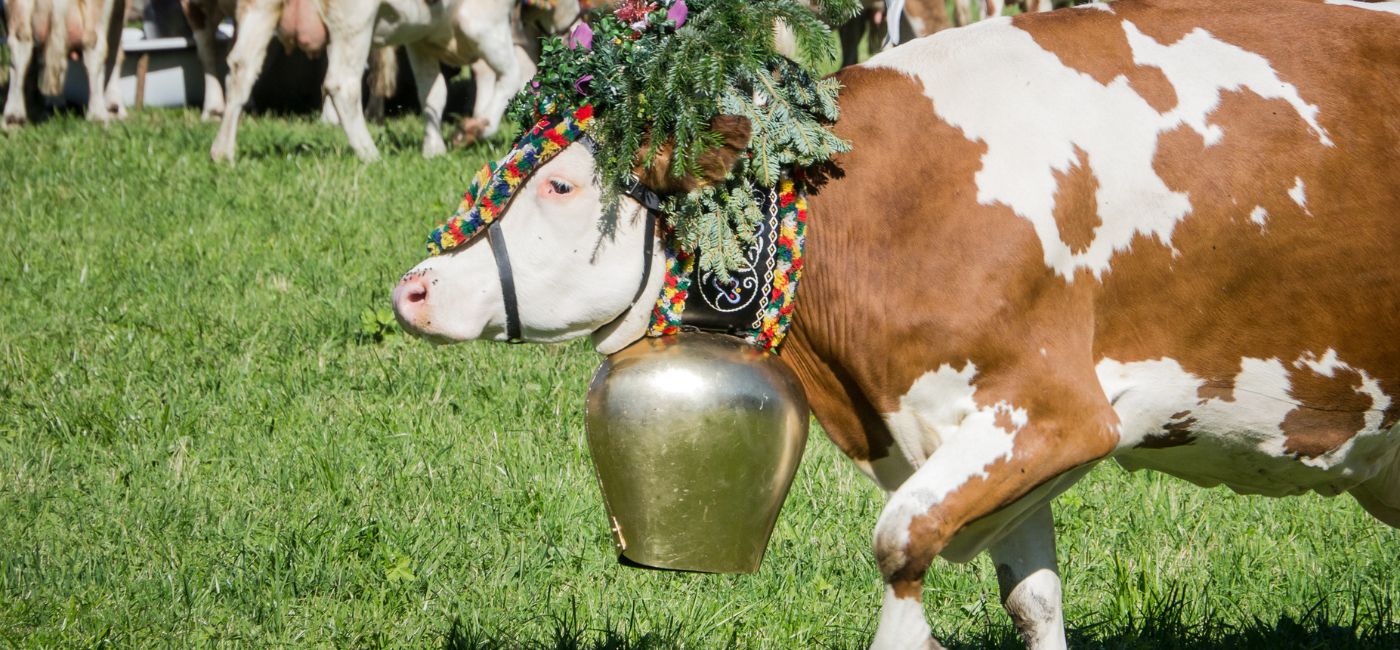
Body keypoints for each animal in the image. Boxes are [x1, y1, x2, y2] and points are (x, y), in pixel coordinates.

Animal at [389, 2, 1400, 647]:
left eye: (562, 185)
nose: (415, 288)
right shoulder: (980, 432)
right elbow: (1034, 600)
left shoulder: (1059, 410)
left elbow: (901, 541)